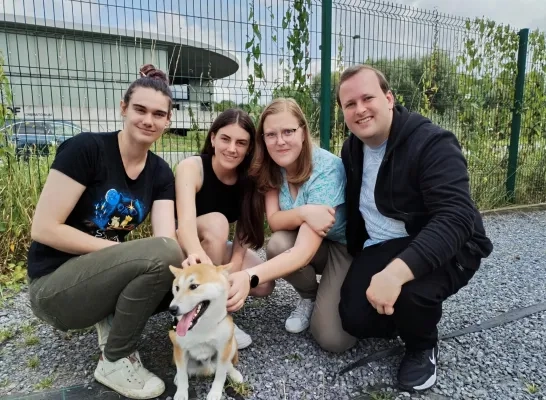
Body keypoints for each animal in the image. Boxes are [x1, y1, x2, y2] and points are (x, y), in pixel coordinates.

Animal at [167, 262, 241, 400]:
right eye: (177, 288)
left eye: (193, 286)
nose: (172, 309)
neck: (202, 327)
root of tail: (207, 369)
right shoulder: (180, 348)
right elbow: (182, 374)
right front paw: (181, 393)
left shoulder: (224, 348)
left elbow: (220, 375)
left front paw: (215, 393)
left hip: (231, 342)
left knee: (228, 365)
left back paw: (234, 374)